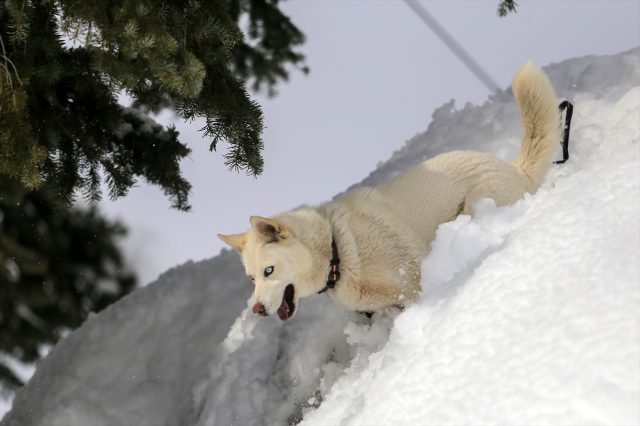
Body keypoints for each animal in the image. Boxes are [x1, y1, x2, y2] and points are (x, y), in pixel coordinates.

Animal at [219, 60, 560, 320]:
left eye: (269, 271)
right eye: (251, 278)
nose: (257, 310)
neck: (338, 251)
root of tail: (515, 169)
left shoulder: (412, 282)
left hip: (476, 204)